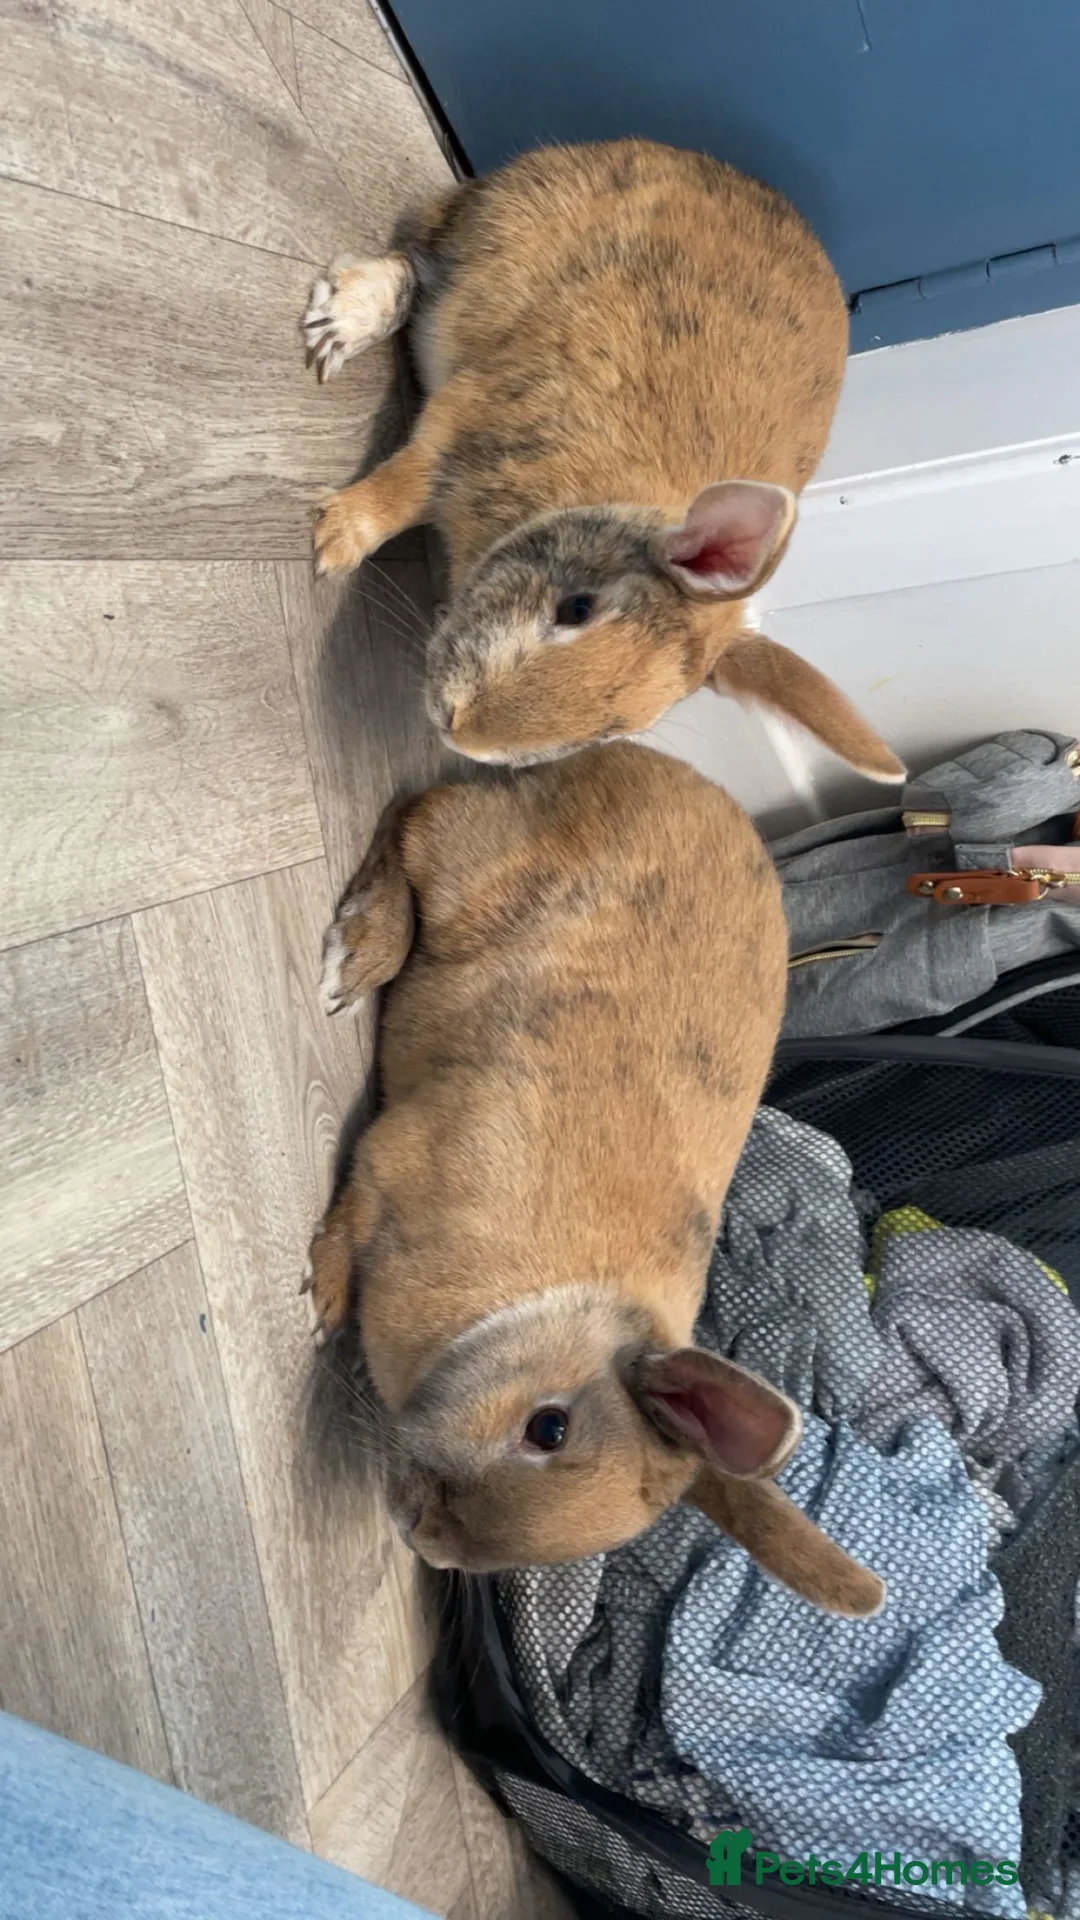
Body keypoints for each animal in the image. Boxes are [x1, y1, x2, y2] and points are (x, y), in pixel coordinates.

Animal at [302, 138, 904, 784]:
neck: (598, 501)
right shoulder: (466, 417)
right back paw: (343, 320)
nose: (460, 731)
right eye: (577, 608)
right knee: (413, 261)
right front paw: (333, 542)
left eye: (614, 730)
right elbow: (405, 485)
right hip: (489, 236)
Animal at [303, 742, 884, 1618]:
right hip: (473, 870)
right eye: (549, 1428)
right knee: (413, 815)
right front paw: (323, 1303)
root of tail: (665, 767)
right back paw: (363, 950)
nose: (419, 1531)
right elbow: (347, 1218)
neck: (531, 1310)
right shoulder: (395, 1160)